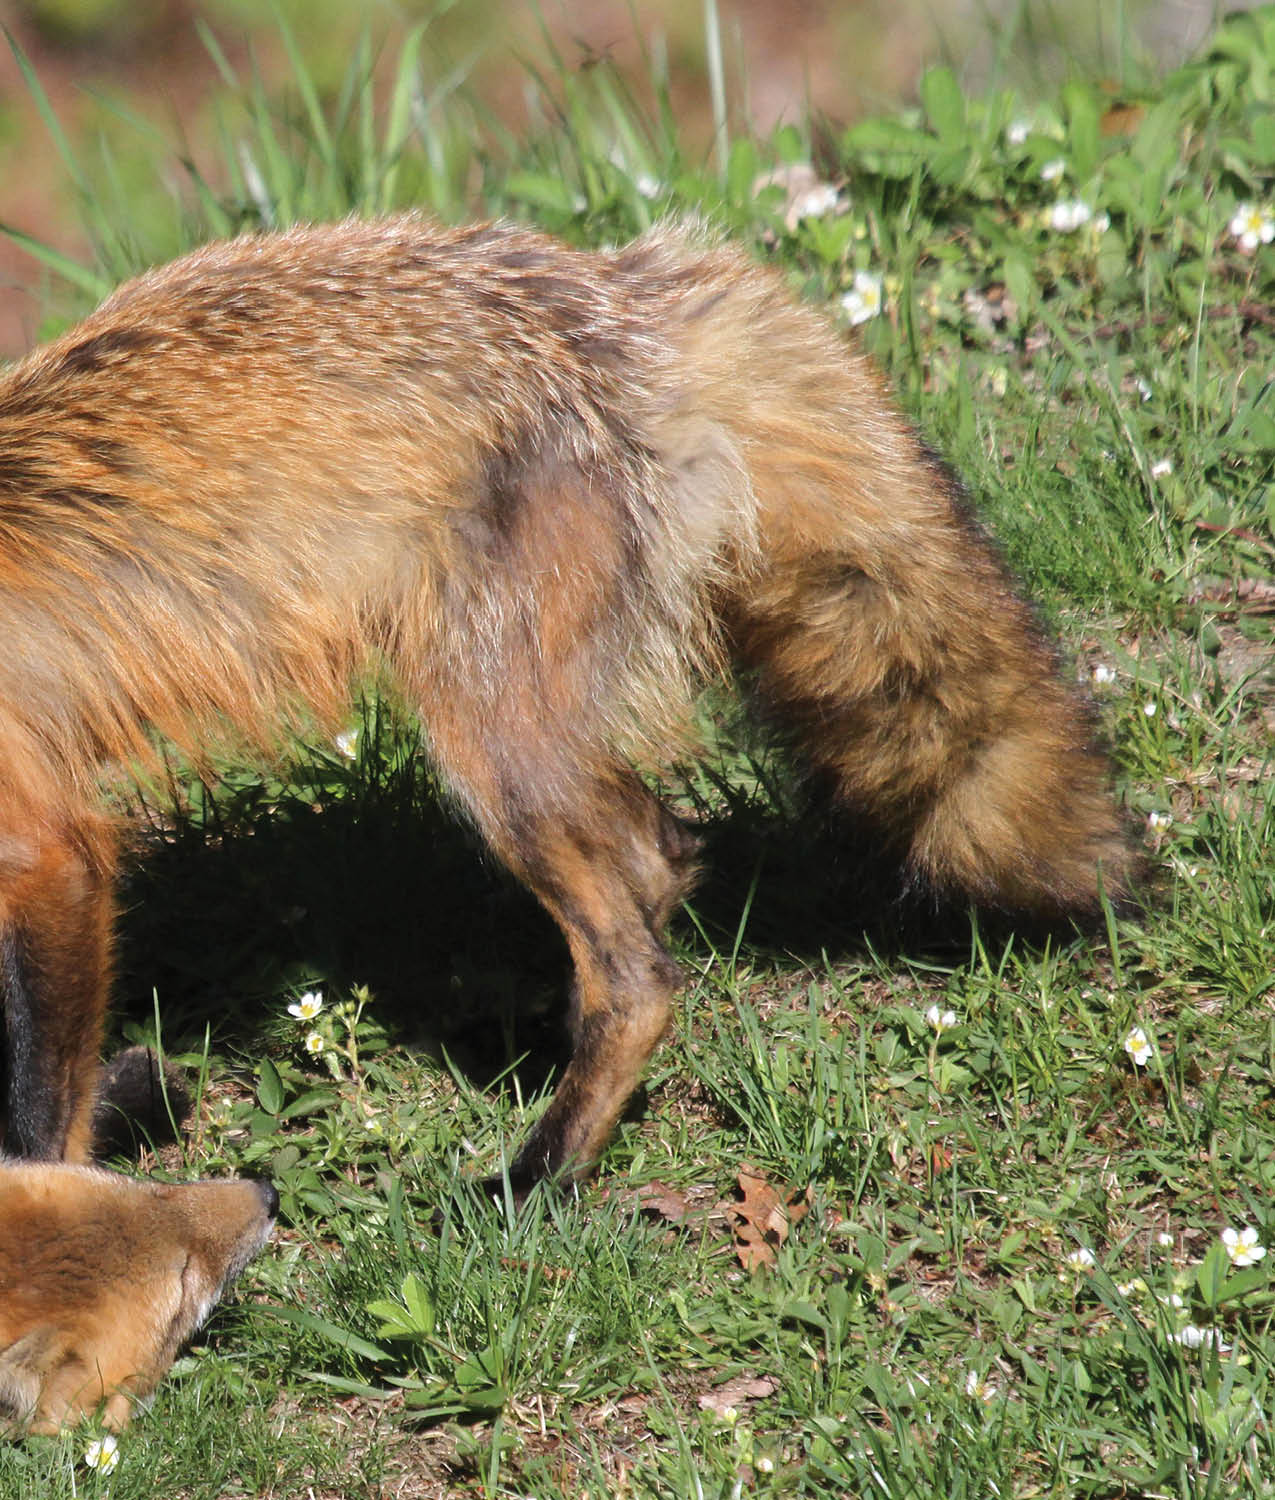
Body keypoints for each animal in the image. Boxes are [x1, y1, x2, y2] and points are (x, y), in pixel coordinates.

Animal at [0, 214, 1122, 1194]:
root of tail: (615, 291)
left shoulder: (51, 851)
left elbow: (40, 1119)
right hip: (534, 733)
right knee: (659, 852)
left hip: (492, 744)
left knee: (639, 972)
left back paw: (538, 1175)